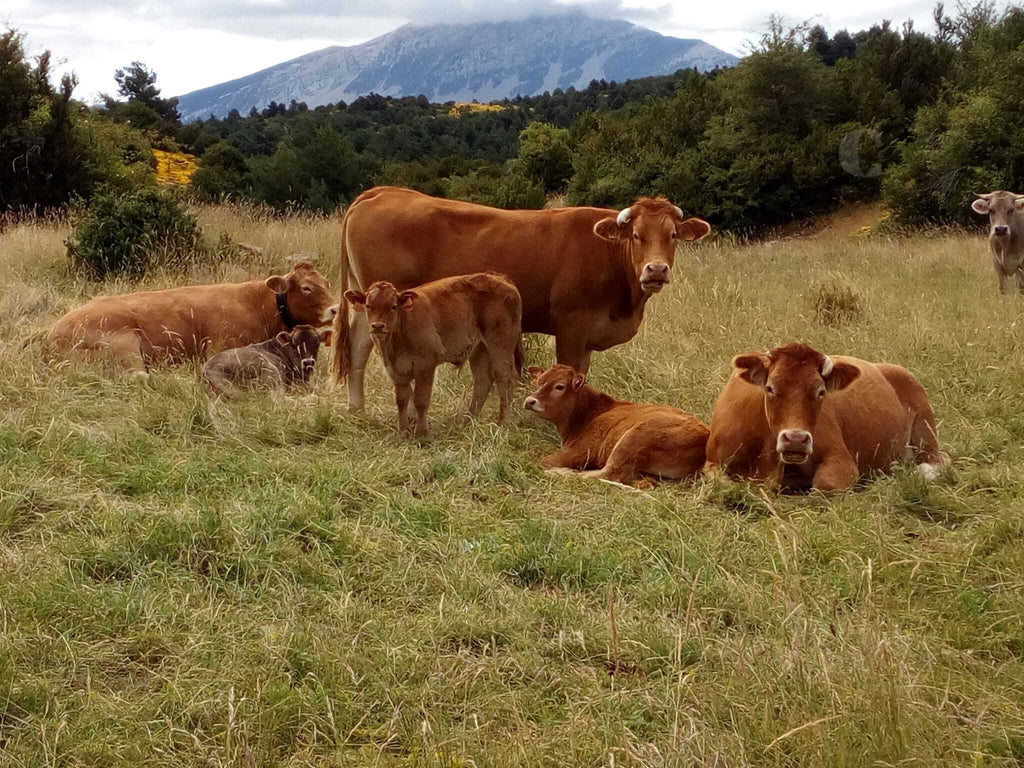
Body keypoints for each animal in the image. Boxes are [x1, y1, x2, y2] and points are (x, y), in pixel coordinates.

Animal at [47, 261, 337, 375]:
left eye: (327, 283)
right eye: (307, 288)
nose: (335, 309)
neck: (258, 305)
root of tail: (51, 332)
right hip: (124, 344)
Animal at [332, 186, 711, 410]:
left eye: (673, 235)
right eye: (635, 235)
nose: (656, 269)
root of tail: (383, 191)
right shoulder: (571, 327)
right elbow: (568, 371)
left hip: (372, 304)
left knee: (357, 347)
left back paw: (357, 409)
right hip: (384, 307)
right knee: (362, 347)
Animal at [343, 272, 522, 436]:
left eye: (393, 306)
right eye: (368, 306)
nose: (378, 326)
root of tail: (500, 278)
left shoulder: (425, 366)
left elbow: (421, 400)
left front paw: (422, 433)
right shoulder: (396, 371)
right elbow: (401, 401)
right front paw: (403, 432)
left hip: (500, 345)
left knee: (504, 378)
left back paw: (501, 423)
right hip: (480, 349)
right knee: (482, 380)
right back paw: (468, 421)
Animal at [524, 364, 709, 487]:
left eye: (560, 386)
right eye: (539, 382)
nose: (529, 401)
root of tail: (705, 434)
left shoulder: (581, 451)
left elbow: (544, 461)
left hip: (633, 439)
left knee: (609, 474)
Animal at [704, 342, 943, 492]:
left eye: (821, 392)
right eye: (770, 388)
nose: (796, 440)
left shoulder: (842, 460)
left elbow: (824, 487)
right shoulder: (713, 462)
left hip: (926, 434)